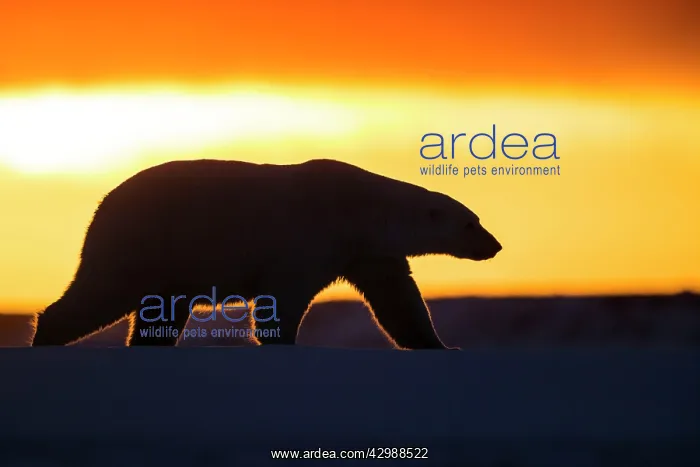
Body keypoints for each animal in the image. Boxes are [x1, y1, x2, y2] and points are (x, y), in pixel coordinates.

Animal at [31, 159, 502, 349]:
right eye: (471, 223)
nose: (495, 245)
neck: (361, 208)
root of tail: (102, 204)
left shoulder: (369, 253)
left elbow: (399, 301)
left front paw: (440, 345)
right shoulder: (308, 239)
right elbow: (284, 296)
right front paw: (283, 341)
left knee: (160, 314)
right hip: (142, 243)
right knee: (101, 292)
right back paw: (46, 335)